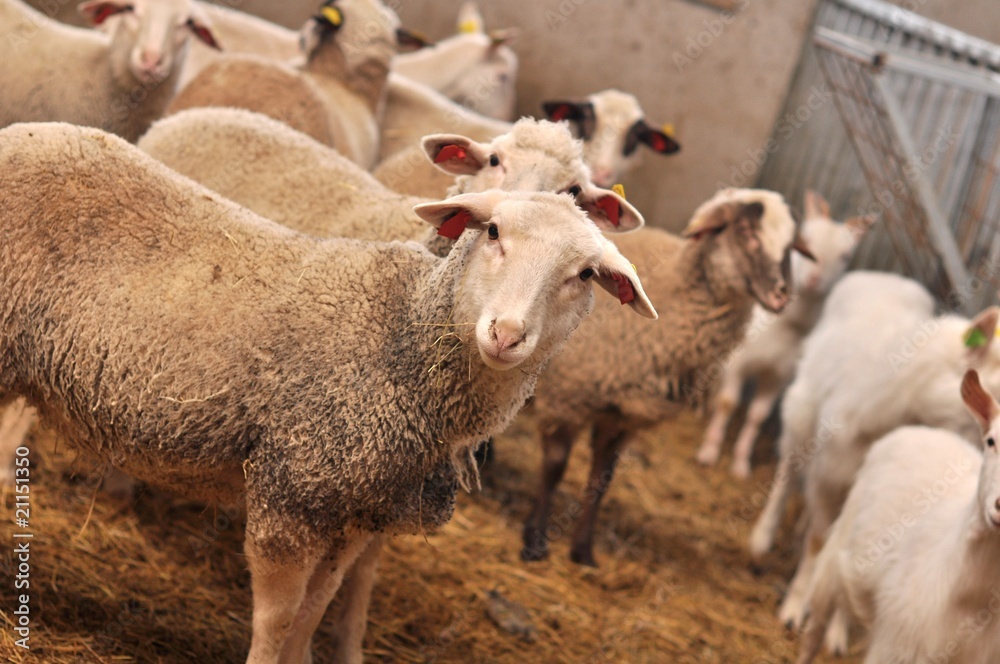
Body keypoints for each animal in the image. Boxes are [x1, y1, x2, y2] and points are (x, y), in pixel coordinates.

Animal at [0, 121, 656, 664]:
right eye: (492, 231)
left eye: (584, 276)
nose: (507, 334)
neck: (403, 337)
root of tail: (27, 132)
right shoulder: (292, 491)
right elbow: (279, 617)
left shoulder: (356, 513)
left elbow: (316, 611)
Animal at [521, 188, 814, 566]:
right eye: (745, 231)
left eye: (792, 246)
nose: (781, 296)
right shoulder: (568, 397)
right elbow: (555, 468)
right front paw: (535, 540)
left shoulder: (620, 417)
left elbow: (602, 480)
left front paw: (583, 550)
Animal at [696, 190, 874, 478]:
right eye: (807, 241)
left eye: (845, 257)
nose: (813, 280)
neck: (783, 325)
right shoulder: (738, 360)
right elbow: (728, 402)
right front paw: (709, 451)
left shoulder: (779, 376)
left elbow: (757, 416)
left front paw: (741, 462)